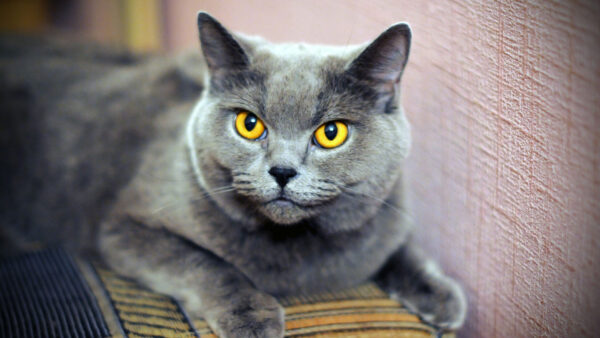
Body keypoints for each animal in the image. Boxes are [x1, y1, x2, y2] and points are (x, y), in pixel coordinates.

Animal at [0, 11, 466, 336]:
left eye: (331, 133)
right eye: (249, 124)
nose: (282, 170)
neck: (295, 249)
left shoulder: (388, 213)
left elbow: (399, 247)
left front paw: (441, 295)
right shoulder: (125, 229)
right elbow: (204, 262)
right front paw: (251, 316)